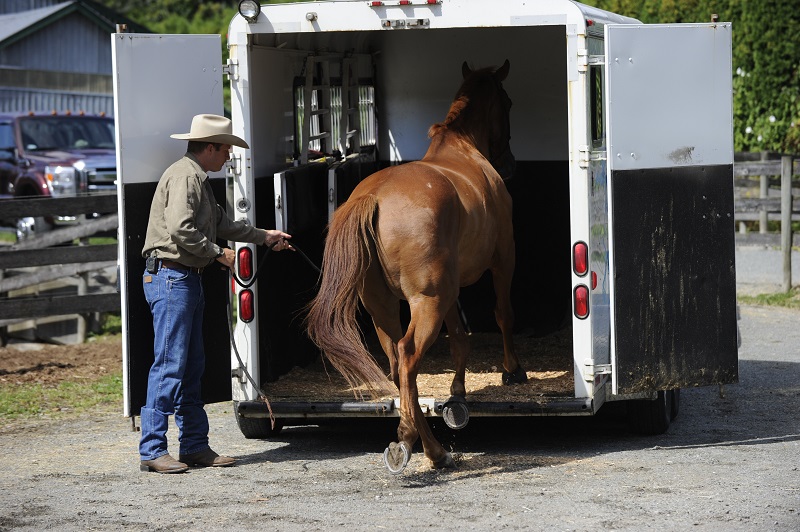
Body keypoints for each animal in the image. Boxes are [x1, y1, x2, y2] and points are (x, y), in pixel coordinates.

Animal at [306, 60, 526, 473]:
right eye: (507, 103)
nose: (510, 164)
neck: (463, 150)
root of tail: (373, 198)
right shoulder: (503, 258)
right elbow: (503, 314)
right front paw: (512, 370)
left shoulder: (450, 291)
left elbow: (460, 338)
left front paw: (458, 391)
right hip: (427, 302)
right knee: (408, 358)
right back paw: (434, 451)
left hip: (385, 308)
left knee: (396, 363)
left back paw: (409, 437)